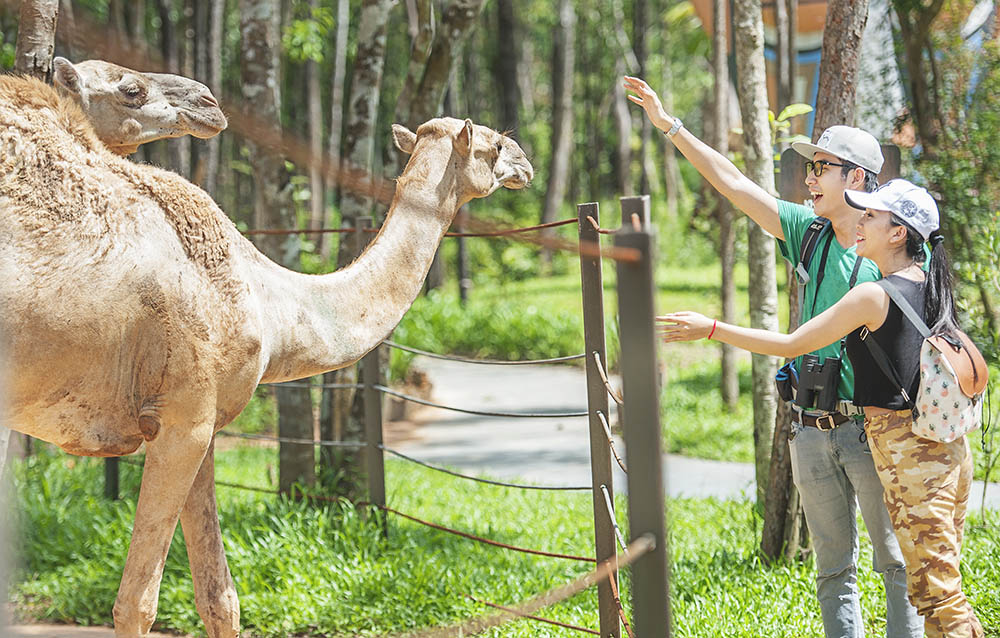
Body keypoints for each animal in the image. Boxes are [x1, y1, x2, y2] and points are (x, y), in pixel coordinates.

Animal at [0, 76, 536, 638]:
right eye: (495, 145)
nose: (526, 161)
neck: (264, 300)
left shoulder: (197, 425)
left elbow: (219, 596)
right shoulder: (185, 417)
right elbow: (137, 603)